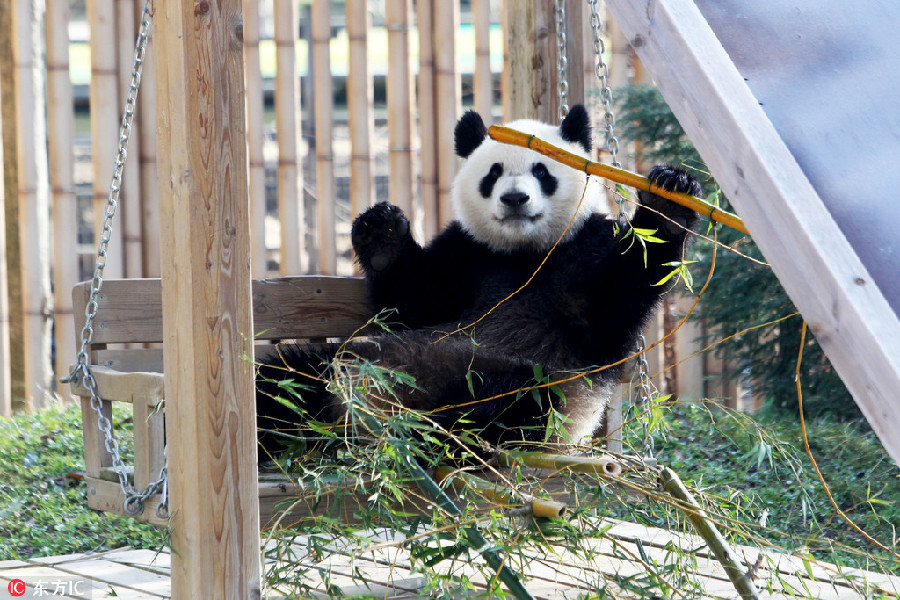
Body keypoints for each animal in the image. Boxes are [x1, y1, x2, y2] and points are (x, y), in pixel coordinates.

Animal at [256, 104, 700, 460]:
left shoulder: (586, 252)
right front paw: (381, 233)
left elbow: (620, 297)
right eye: (493, 173)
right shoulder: (467, 254)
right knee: (285, 383)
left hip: (543, 394)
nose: (515, 199)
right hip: (343, 365)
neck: (526, 253)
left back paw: (433, 432)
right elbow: (413, 301)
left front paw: (669, 198)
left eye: (542, 171)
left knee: (505, 399)